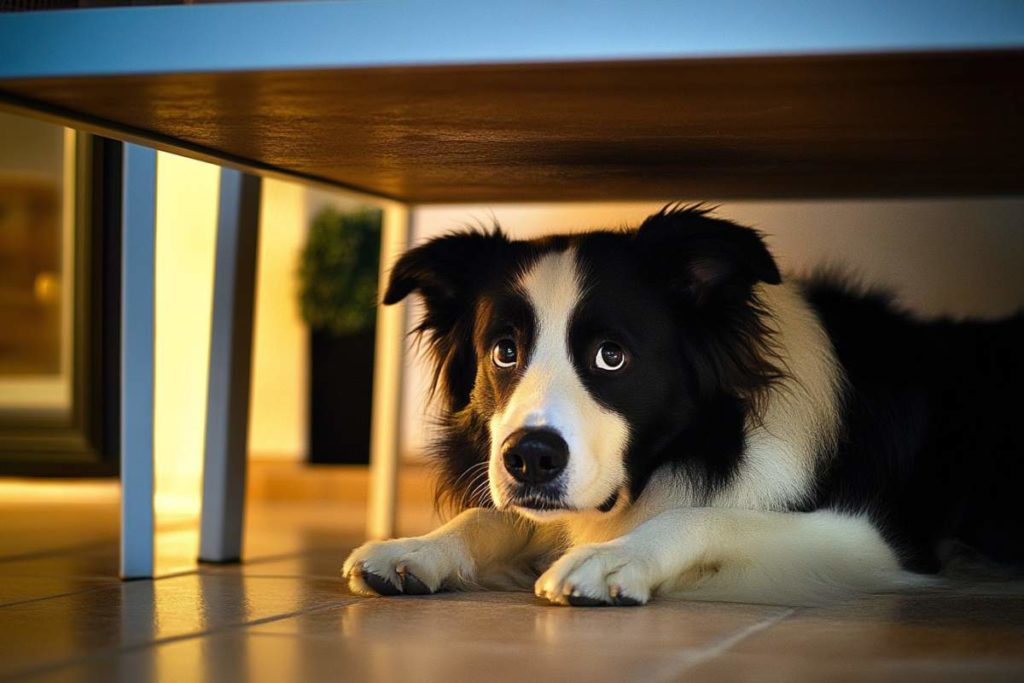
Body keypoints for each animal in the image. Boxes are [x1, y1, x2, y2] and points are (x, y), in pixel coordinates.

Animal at [342, 205, 1015, 606]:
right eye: (504, 351)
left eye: (612, 356)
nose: (529, 459)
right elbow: (497, 516)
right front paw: (415, 548)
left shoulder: (879, 542)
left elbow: (710, 516)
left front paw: (614, 558)